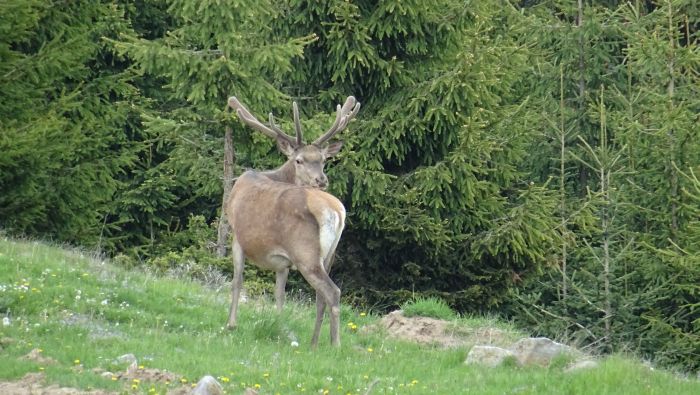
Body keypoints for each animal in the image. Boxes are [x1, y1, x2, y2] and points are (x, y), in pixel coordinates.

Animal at [226, 96, 360, 346]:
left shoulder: (237, 236)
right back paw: (314, 343)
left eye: (324, 160)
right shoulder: (283, 260)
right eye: (299, 160)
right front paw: (279, 325)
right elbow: (279, 294)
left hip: (305, 253)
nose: (321, 180)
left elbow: (237, 281)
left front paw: (231, 324)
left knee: (332, 292)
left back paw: (335, 344)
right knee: (320, 297)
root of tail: (336, 211)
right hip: (328, 255)